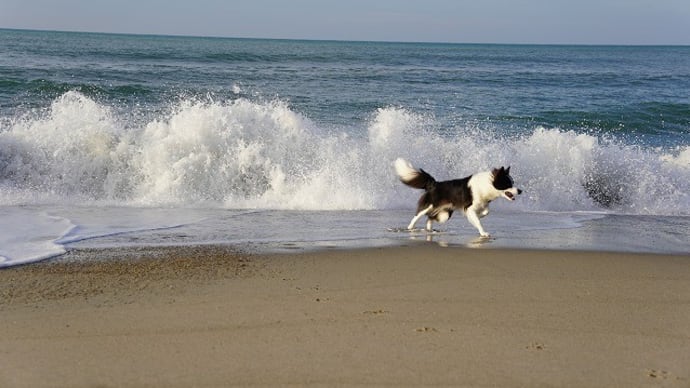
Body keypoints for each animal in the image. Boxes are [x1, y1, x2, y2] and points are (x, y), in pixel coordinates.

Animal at [392, 158, 520, 236]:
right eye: (508, 184)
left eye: (513, 182)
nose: (520, 191)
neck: (488, 184)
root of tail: (434, 183)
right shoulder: (469, 207)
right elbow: (478, 221)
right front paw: (483, 233)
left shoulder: (482, 204)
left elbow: (486, 212)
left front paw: (480, 216)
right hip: (431, 205)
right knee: (418, 215)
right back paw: (410, 228)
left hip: (444, 214)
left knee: (430, 217)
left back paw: (429, 230)